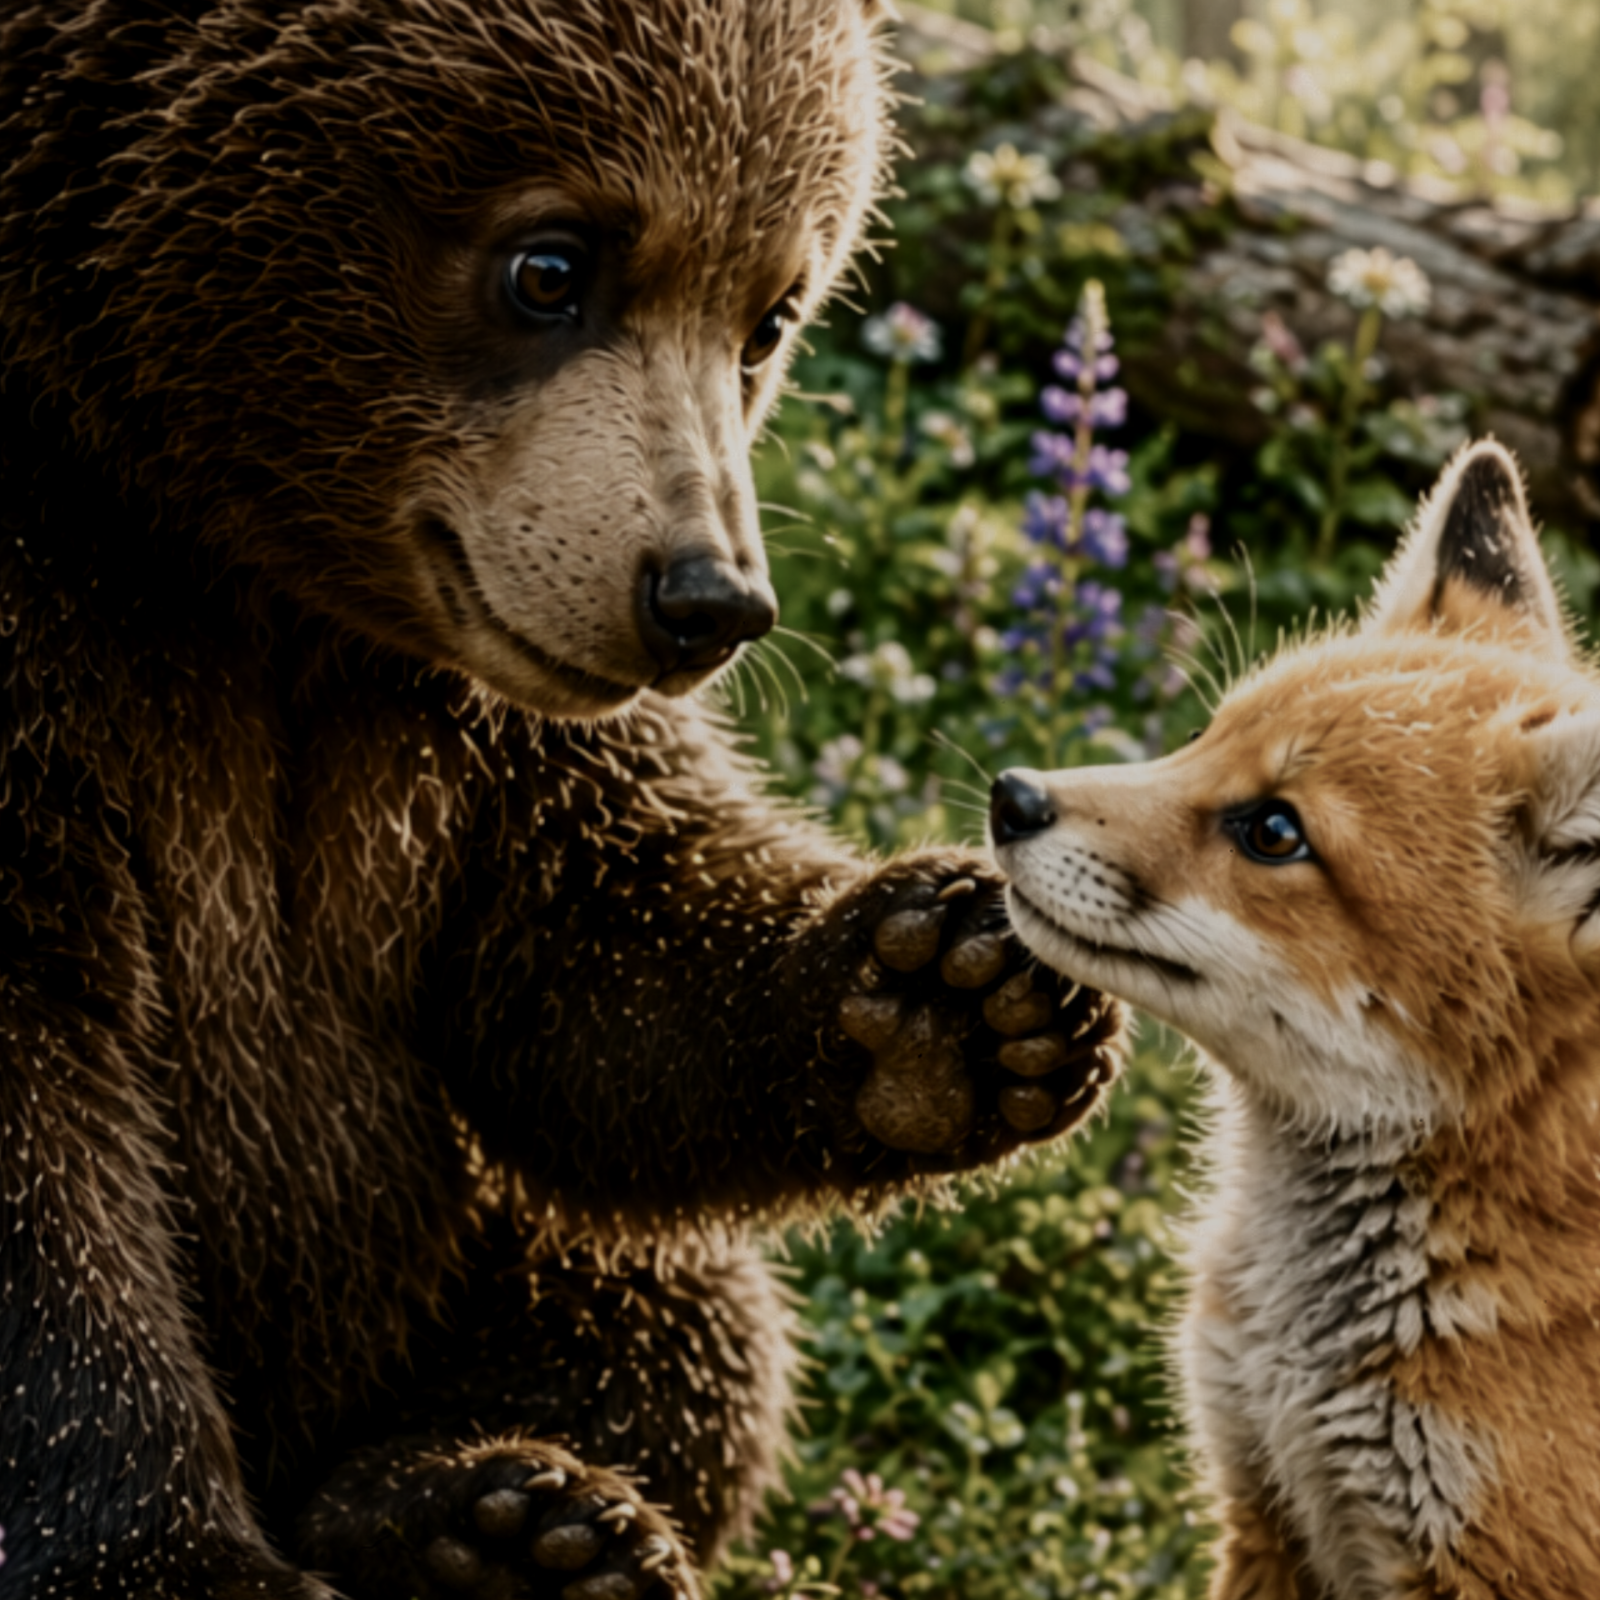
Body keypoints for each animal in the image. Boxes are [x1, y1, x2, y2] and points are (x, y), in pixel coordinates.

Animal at [0, 3, 1124, 1599]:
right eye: (552, 262)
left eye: (768, 312)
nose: (705, 600)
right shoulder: (59, 654)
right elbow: (45, 1146)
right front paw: (178, 1561)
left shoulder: (453, 728)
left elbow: (595, 948)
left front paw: (946, 996)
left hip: (475, 1254)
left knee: (685, 1326)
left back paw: (484, 1520)